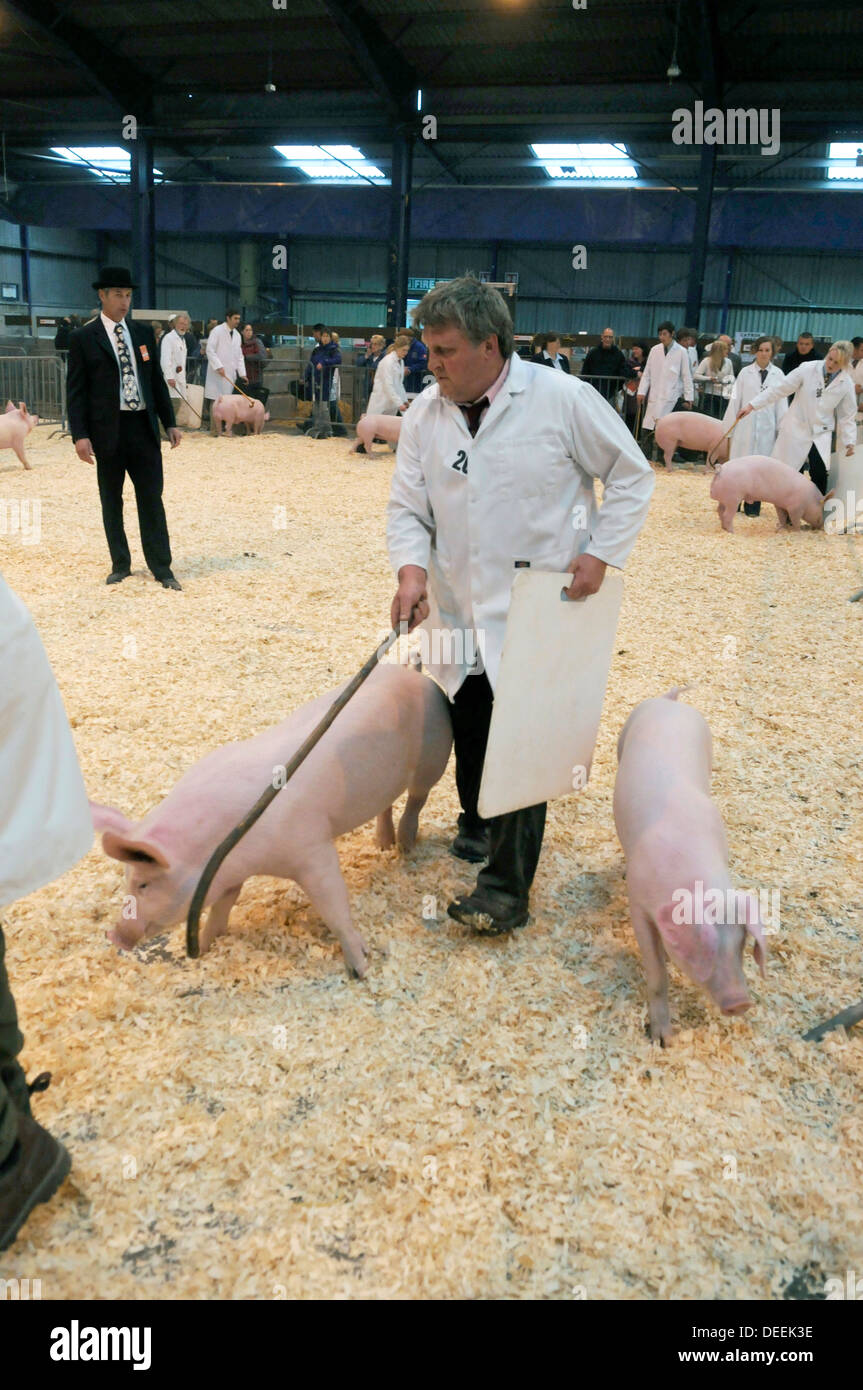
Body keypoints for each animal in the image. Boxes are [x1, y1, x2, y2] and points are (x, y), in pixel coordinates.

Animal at [88, 661, 450, 978]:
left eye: (144, 883)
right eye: (128, 880)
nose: (115, 935)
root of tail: (415, 674)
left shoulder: (311, 848)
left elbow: (333, 904)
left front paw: (361, 969)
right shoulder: (227, 875)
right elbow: (221, 907)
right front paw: (202, 947)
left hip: (434, 759)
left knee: (416, 800)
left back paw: (405, 848)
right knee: (387, 805)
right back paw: (384, 844)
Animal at [611, 686, 767, 1045]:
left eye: (741, 943)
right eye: (705, 944)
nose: (741, 1002)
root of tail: (671, 702)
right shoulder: (639, 904)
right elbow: (657, 974)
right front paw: (663, 1041)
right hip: (623, 738)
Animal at [705, 461, 833, 536]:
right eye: (822, 509)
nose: (821, 526)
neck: (809, 500)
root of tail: (720, 469)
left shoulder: (780, 505)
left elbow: (782, 517)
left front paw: (779, 529)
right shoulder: (795, 508)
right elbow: (795, 520)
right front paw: (797, 531)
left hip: (724, 499)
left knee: (720, 511)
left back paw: (723, 529)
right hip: (733, 499)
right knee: (727, 515)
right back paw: (732, 532)